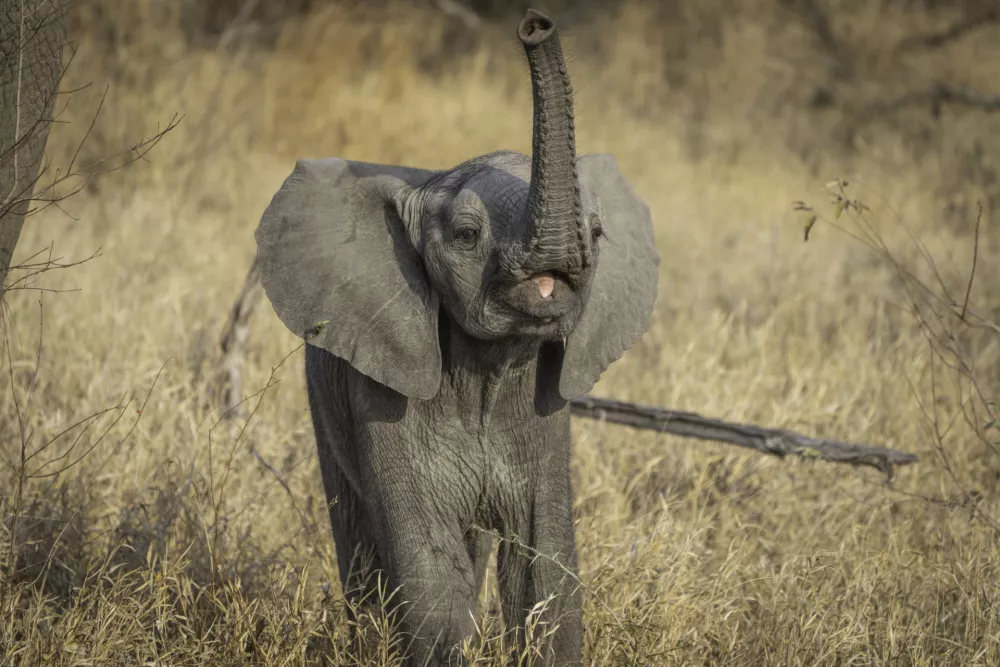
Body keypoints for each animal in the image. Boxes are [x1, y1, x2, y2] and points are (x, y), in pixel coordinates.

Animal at [255, 9, 659, 666]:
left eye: (598, 234)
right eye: (467, 235)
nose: (535, 25)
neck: (490, 363)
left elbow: (543, 566)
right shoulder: (385, 393)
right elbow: (429, 572)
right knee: (363, 550)